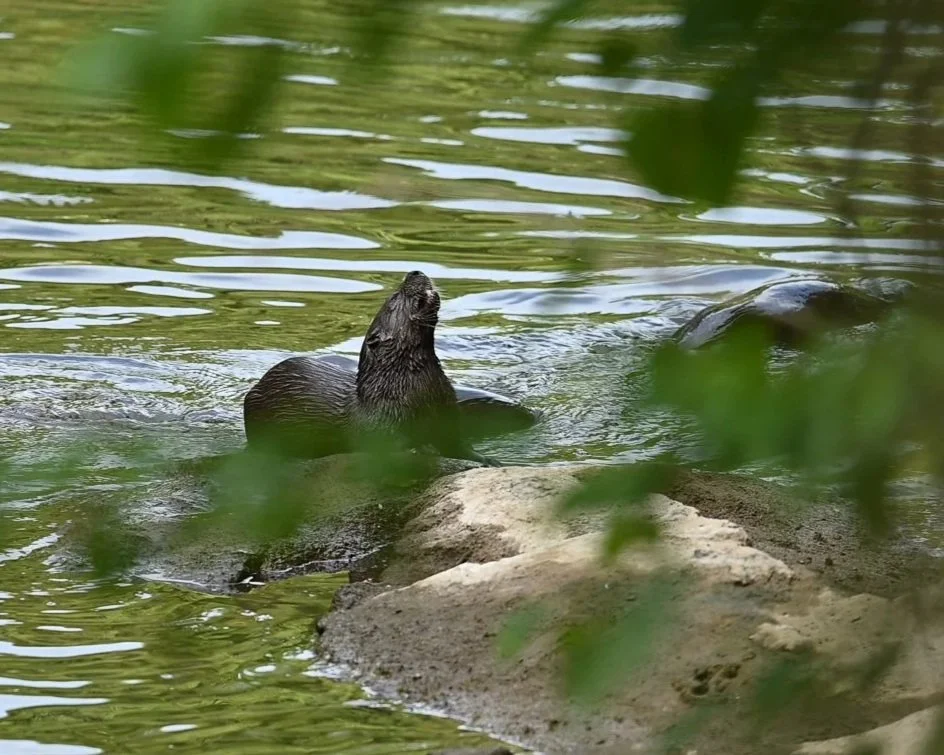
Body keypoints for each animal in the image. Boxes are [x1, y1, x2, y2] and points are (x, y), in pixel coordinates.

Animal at [243, 271, 516, 465]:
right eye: (394, 298)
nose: (415, 271)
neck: (410, 388)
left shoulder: (447, 412)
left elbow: (457, 443)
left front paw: (488, 459)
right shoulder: (385, 425)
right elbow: (392, 446)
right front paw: (422, 448)